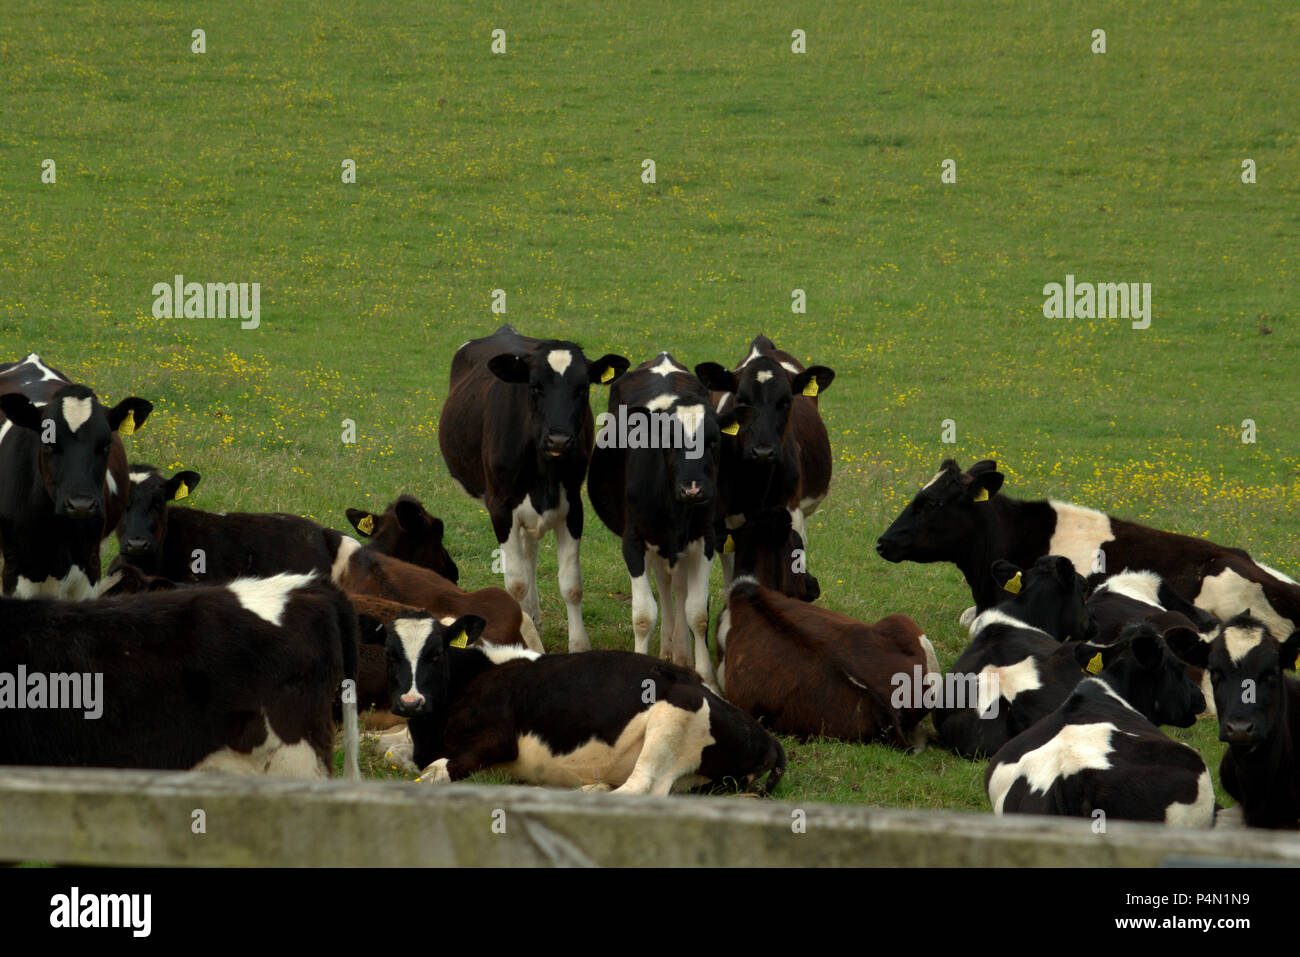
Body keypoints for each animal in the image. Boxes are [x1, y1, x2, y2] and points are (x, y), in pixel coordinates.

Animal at [384, 611, 785, 796]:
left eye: (436, 654)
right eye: (390, 653)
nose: (411, 702)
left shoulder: (497, 740)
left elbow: (433, 772)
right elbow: (392, 754)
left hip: (673, 718)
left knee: (641, 788)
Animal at [438, 325, 628, 653]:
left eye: (582, 388)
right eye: (535, 386)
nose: (559, 440)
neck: (544, 473)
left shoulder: (572, 507)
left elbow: (571, 584)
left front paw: (579, 645)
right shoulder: (501, 508)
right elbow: (515, 583)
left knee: (531, 553)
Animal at [587, 353, 725, 688]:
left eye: (714, 441)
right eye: (670, 441)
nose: (693, 488)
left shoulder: (705, 538)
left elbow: (697, 612)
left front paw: (706, 678)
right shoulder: (633, 542)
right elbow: (643, 614)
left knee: (677, 587)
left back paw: (681, 652)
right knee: (663, 585)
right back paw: (667, 649)